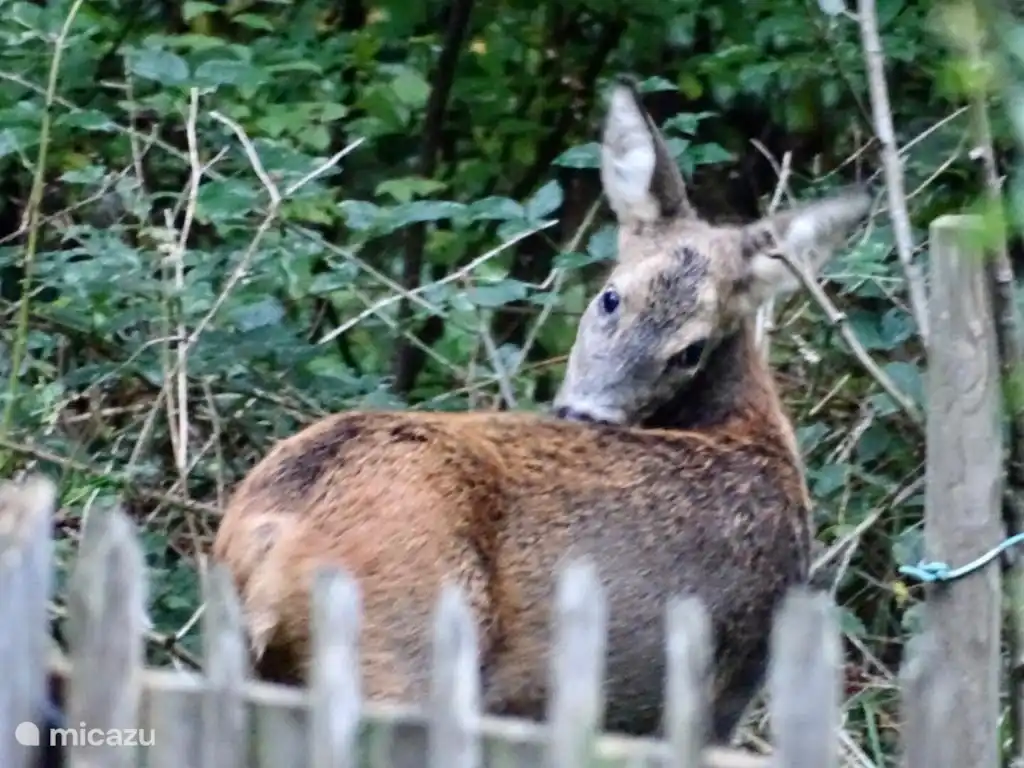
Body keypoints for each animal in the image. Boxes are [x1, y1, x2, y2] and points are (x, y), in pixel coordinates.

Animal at [212, 76, 871, 745]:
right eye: (610, 298)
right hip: (398, 649)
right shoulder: (725, 686)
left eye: (691, 350)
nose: (586, 413)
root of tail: (272, 527)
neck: (752, 430)